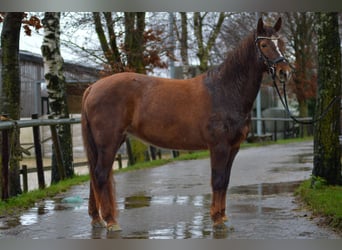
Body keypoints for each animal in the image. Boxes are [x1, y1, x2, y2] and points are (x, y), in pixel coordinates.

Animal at [81, 17, 290, 231]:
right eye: (264, 45)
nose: (284, 72)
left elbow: (225, 181)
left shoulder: (233, 147)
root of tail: (93, 87)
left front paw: (222, 217)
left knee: (94, 176)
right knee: (100, 175)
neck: (224, 91)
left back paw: (97, 219)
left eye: (281, 43)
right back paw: (111, 221)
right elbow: (218, 180)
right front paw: (216, 219)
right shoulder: (219, 147)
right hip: (109, 142)